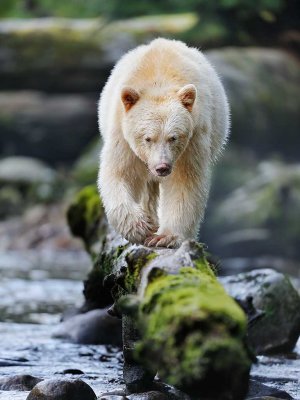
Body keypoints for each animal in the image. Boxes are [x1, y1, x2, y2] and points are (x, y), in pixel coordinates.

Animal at [97, 39, 229, 248]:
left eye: (173, 137)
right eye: (147, 138)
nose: (162, 167)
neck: (159, 80)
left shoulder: (193, 138)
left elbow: (184, 182)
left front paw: (164, 237)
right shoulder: (122, 135)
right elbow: (120, 173)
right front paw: (139, 226)